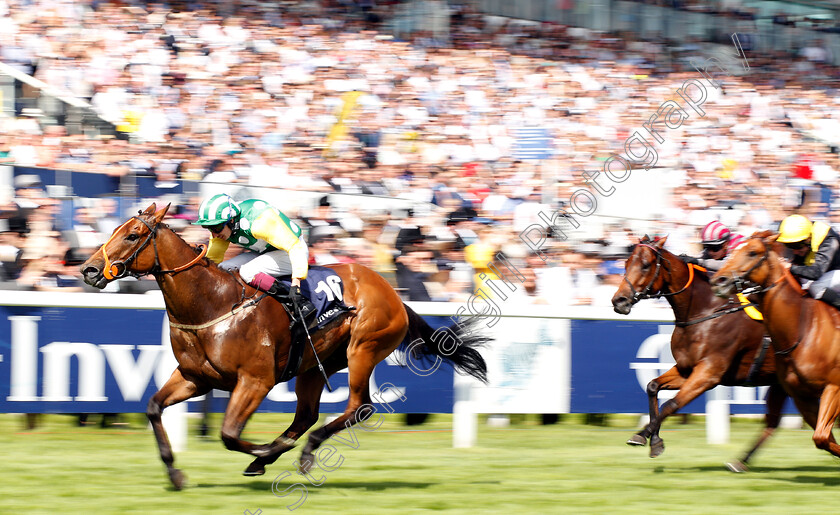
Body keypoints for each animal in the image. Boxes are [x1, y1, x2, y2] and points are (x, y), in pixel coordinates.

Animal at [80, 204, 486, 490]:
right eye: (114, 229)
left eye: (133, 235)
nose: (89, 270)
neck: (213, 304)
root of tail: (393, 293)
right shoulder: (195, 377)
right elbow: (153, 408)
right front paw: (176, 475)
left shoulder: (255, 380)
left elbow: (229, 434)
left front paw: (261, 450)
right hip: (315, 364)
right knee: (306, 414)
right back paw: (275, 455)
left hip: (363, 349)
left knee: (359, 408)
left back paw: (295, 453)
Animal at [712, 232, 840, 462]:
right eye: (733, 250)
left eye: (752, 252)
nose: (719, 280)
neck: (803, 329)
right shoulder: (802, 396)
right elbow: (823, 438)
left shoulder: (834, 387)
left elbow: (822, 436)